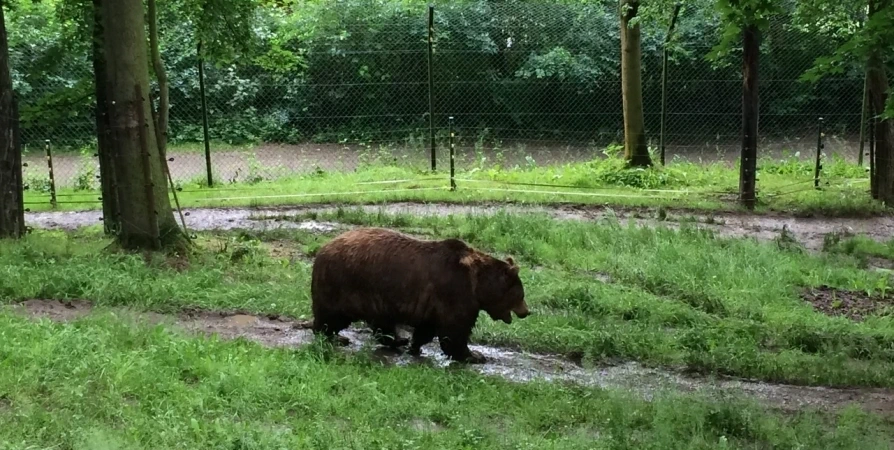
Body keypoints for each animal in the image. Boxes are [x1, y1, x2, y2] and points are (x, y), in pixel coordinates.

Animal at [312, 227, 528, 364]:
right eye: (520, 295)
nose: (527, 311)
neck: (478, 285)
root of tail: (322, 249)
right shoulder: (454, 291)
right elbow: (454, 331)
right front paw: (474, 356)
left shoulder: (433, 301)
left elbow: (428, 328)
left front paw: (415, 346)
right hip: (343, 285)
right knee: (331, 317)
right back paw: (336, 337)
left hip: (373, 295)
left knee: (382, 322)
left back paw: (398, 340)